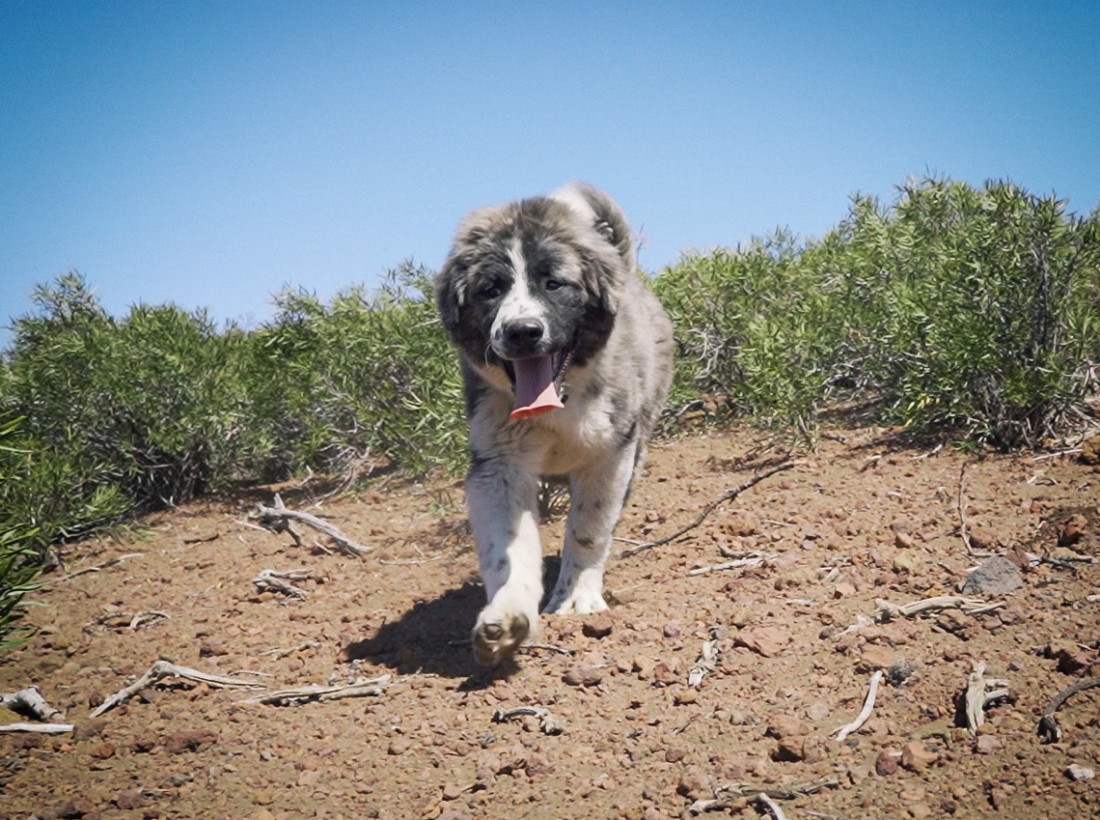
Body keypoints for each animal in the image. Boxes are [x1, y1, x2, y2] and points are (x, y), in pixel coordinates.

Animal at [435, 180, 673, 664]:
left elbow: (588, 529)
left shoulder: (611, 455)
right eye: (491, 289)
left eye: (554, 283)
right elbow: (508, 550)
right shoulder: (498, 467)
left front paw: (576, 596)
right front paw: (507, 616)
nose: (522, 331)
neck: (558, 404)